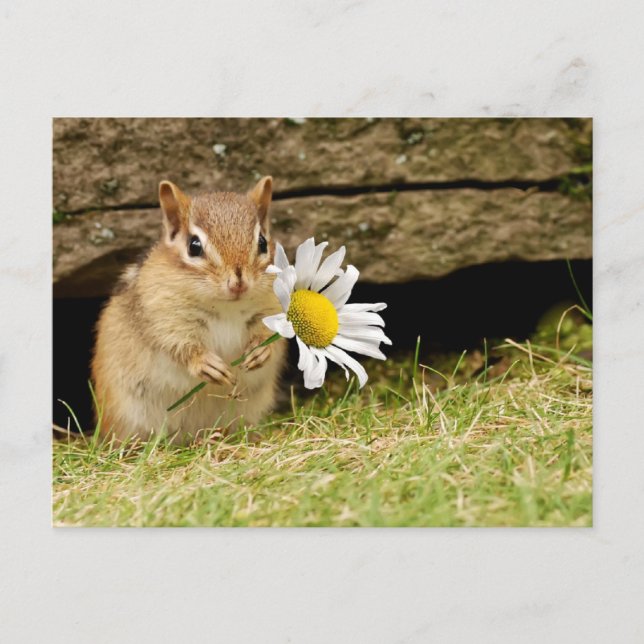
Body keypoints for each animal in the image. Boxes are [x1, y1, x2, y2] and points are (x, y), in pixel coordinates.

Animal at [91, 176, 287, 443]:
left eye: (263, 243)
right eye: (194, 246)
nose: (238, 283)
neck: (227, 307)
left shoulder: (271, 308)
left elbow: (271, 336)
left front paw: (259, 352)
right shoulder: (165, 317)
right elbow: (179, 346)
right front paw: (206, 364)